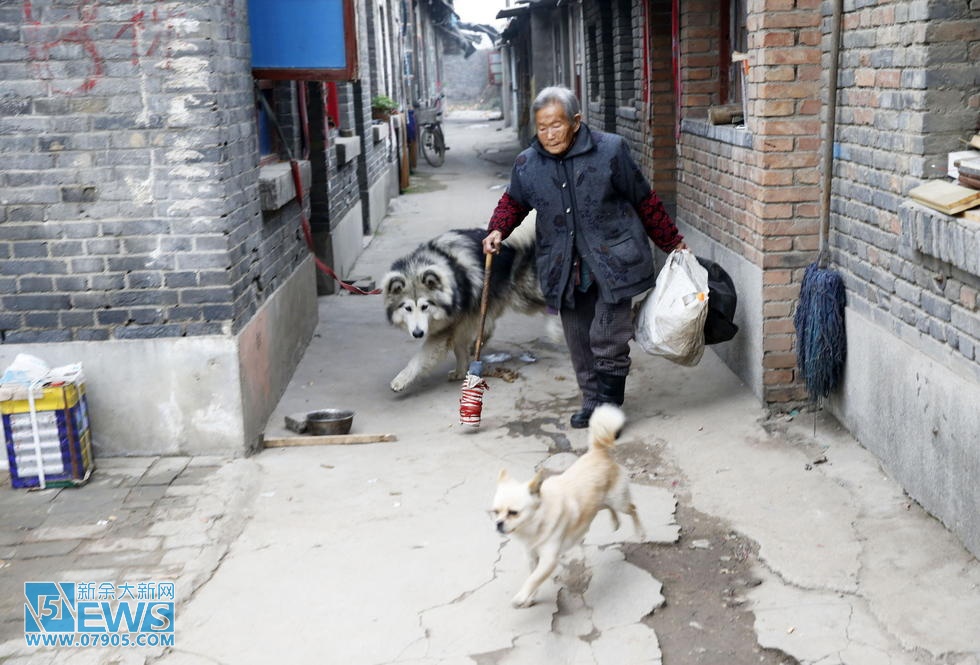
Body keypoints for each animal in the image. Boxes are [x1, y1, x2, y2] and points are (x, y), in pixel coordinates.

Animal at [378, 220, 544, 392]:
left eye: (425, 307)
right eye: (407, 308)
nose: (418, 333)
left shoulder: (447, 327)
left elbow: (420, 357)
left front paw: (401, 379)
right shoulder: (459, 319)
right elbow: (459, 347)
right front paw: (461, 370)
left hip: (522, 297)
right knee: (489, 321)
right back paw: (479, 341)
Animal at [494, 402, 648, 608]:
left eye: (513, 513)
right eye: (495, 512)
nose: (499, 524)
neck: (534, 527)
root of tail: (598, 451)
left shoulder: (548, 560)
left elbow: (533, 579)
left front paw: (521, 597)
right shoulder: (532, 556)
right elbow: (532, 576)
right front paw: (530, 597)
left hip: (618, 500)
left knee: (632, 509)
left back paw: (640, 532)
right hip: (598, 502)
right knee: (608, 508)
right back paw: (615, 522)